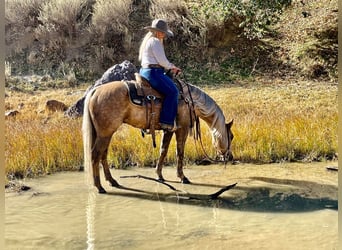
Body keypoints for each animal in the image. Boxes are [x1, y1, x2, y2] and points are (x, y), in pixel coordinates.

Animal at [82, 76, 234, 193]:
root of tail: (95, 91)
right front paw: (182, 177)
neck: (189, 101)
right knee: (95, 155)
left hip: (105, 134)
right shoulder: (182, 129)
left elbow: (163, 151)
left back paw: (112, 181)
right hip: (105, 134)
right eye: (231, 136)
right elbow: (180, 152)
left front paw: (159, 175)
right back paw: (99, 187)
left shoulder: (169, 130)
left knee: (103, 155)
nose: (230, 157)